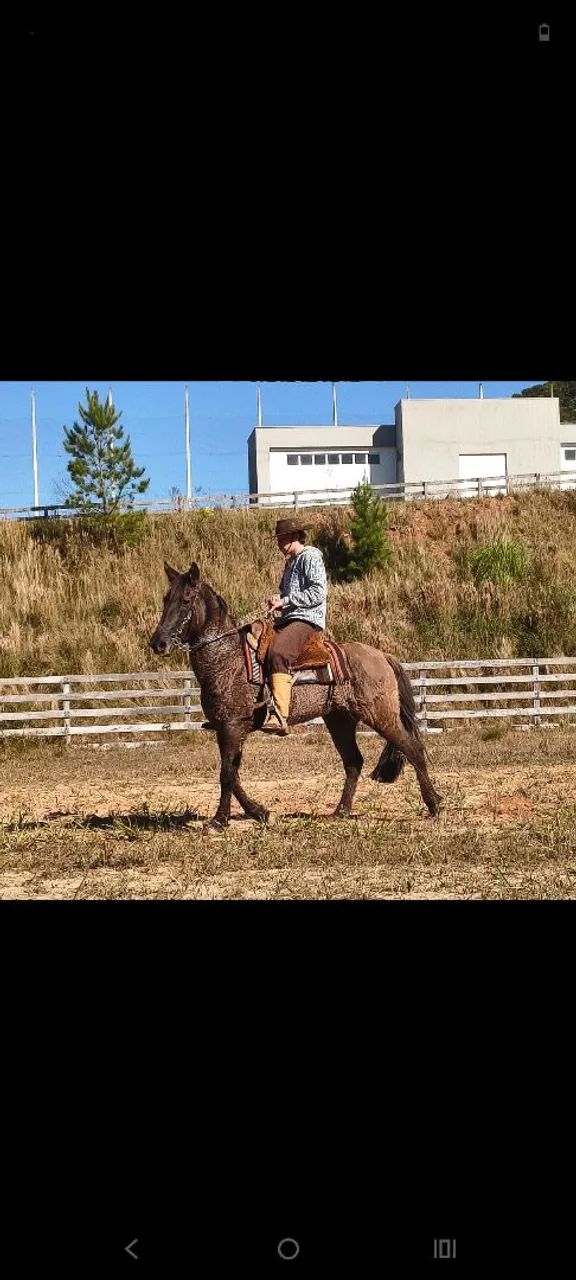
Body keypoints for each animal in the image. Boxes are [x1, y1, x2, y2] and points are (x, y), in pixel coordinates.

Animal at [150, 562, 442, 831]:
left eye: (186, 599)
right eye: (165, 599)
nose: (158, 643)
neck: (228, 659)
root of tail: (382, 655)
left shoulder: (232, 727)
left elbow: (226, 775)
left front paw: (219, 820)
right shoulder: (226, 729)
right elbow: (233, 774)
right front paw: (258, 811)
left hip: (380, 716)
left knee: (412, 749)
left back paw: (434, 804)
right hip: (340, 720)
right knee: (353, 762)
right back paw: (341, 811)